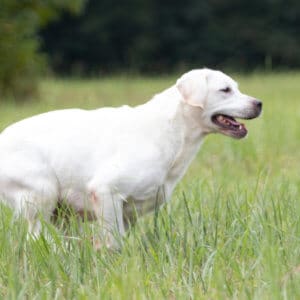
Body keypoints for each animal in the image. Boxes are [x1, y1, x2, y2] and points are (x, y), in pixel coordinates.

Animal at [0, 69, 260, 247]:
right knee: (36, 239)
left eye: (236, 87)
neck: (171, 129)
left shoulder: (129, 213)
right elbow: (113, 243)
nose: (259, 103)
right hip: (42, 195)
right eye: (225, 90)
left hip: (62, 213)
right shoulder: (105, 191)